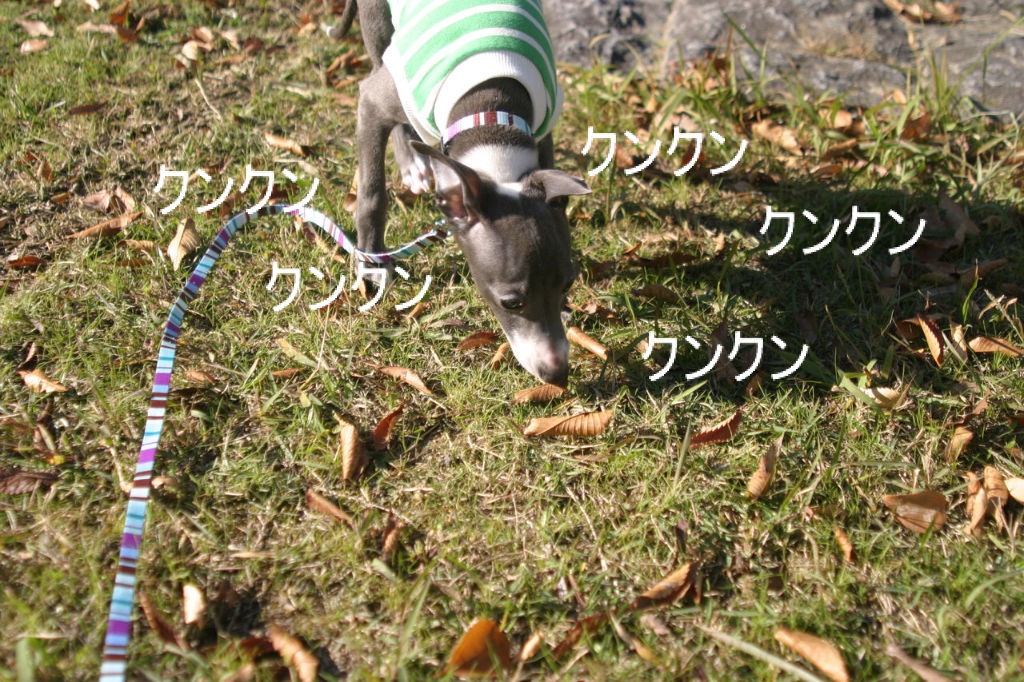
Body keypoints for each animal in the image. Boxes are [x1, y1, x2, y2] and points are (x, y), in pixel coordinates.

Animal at [333, 0, 590, 387]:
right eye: (511, 303)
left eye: (567, 284)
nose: (558, 374)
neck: (491, 114)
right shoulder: (373, 102)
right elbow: (372, 194)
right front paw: (372, 262)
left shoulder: (544, 130)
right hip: (382, 35)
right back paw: (412, 164)